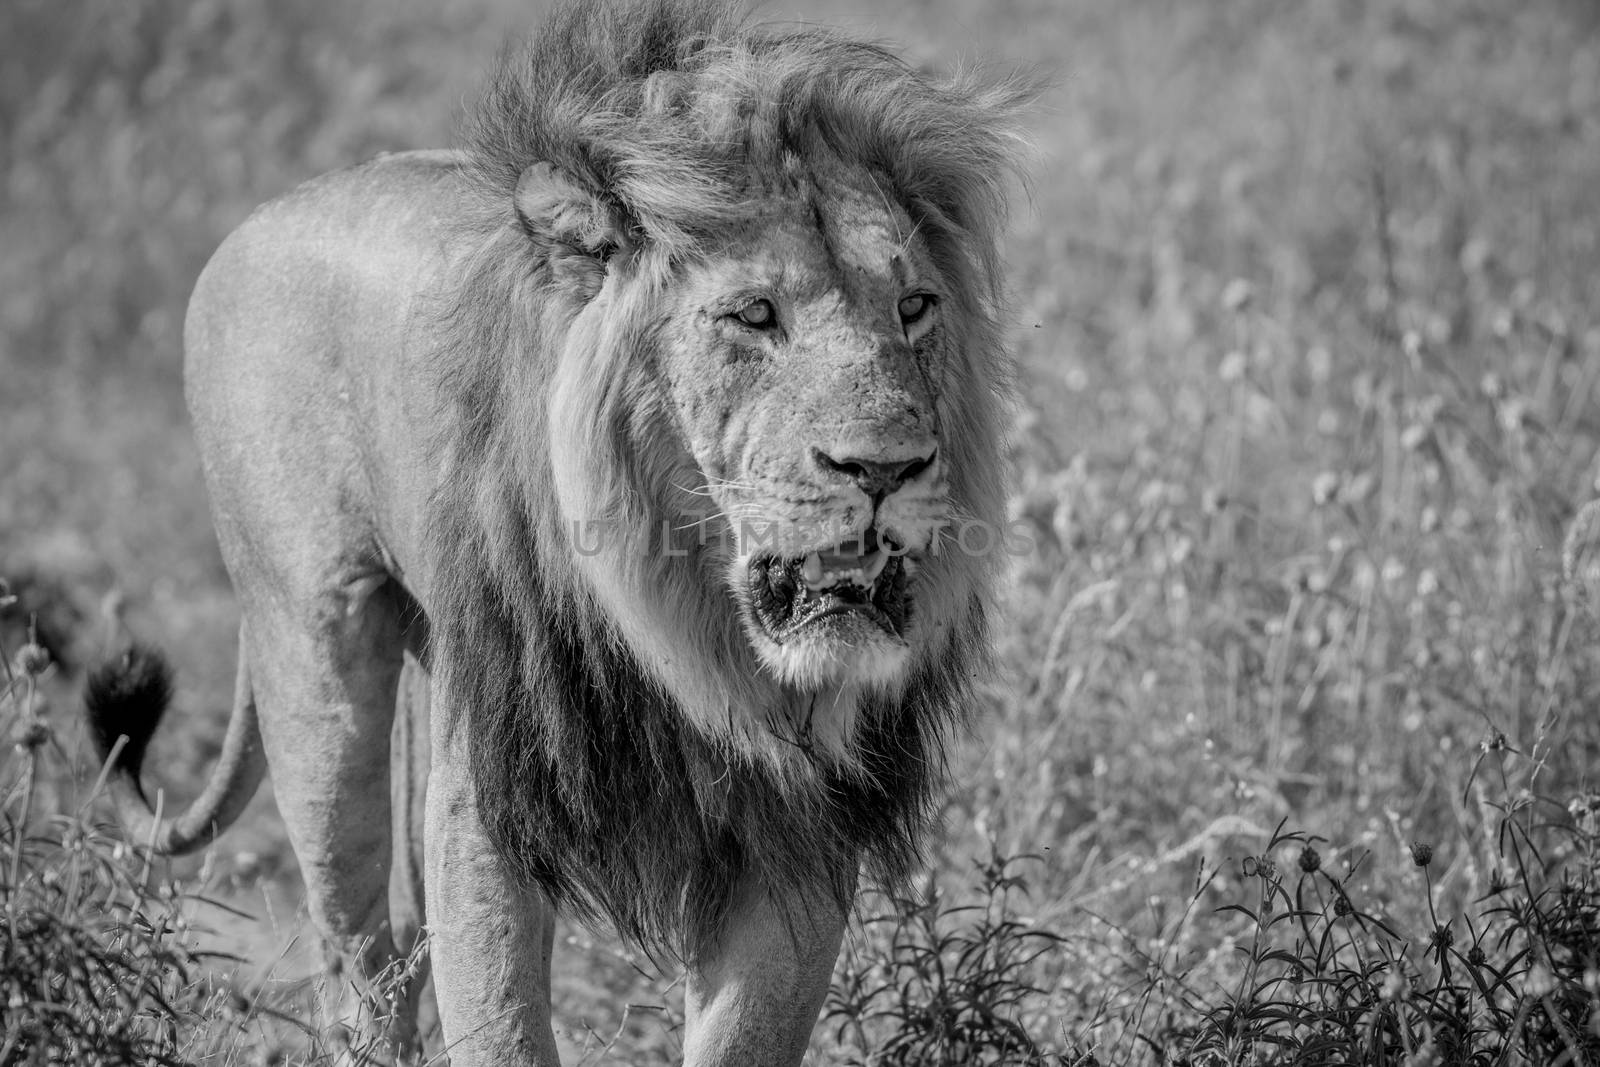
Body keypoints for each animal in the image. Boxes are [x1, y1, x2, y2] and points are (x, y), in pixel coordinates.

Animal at [87, 4, 1036, 1062]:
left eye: (914, 307)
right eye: (755, 315)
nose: (886, 467)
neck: (687, 624)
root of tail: (261, 216)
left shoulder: (801, 822)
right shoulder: (492, 795)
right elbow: (497, 1016)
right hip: (315, 663)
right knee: (358, 960)